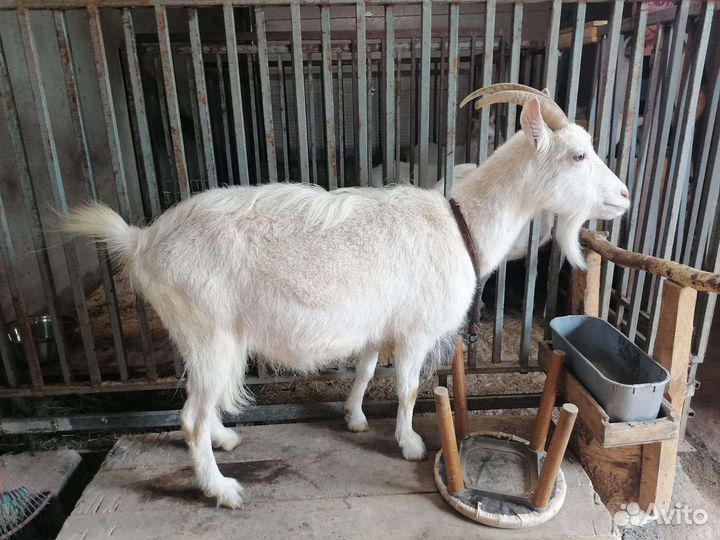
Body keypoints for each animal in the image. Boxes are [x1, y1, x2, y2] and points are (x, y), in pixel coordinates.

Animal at [62, 85, 629, 509]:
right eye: (578, 154)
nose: (624, 196)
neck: (461, 225)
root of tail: (141, 241)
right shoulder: (416, 330)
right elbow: (407, 388)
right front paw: (409, 444)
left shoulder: (379, 325)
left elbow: (365, 369)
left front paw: (355, 419)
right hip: (210, 329)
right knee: (189, 417)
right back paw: (223, 489)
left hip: (197, 336)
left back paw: (225, 440)